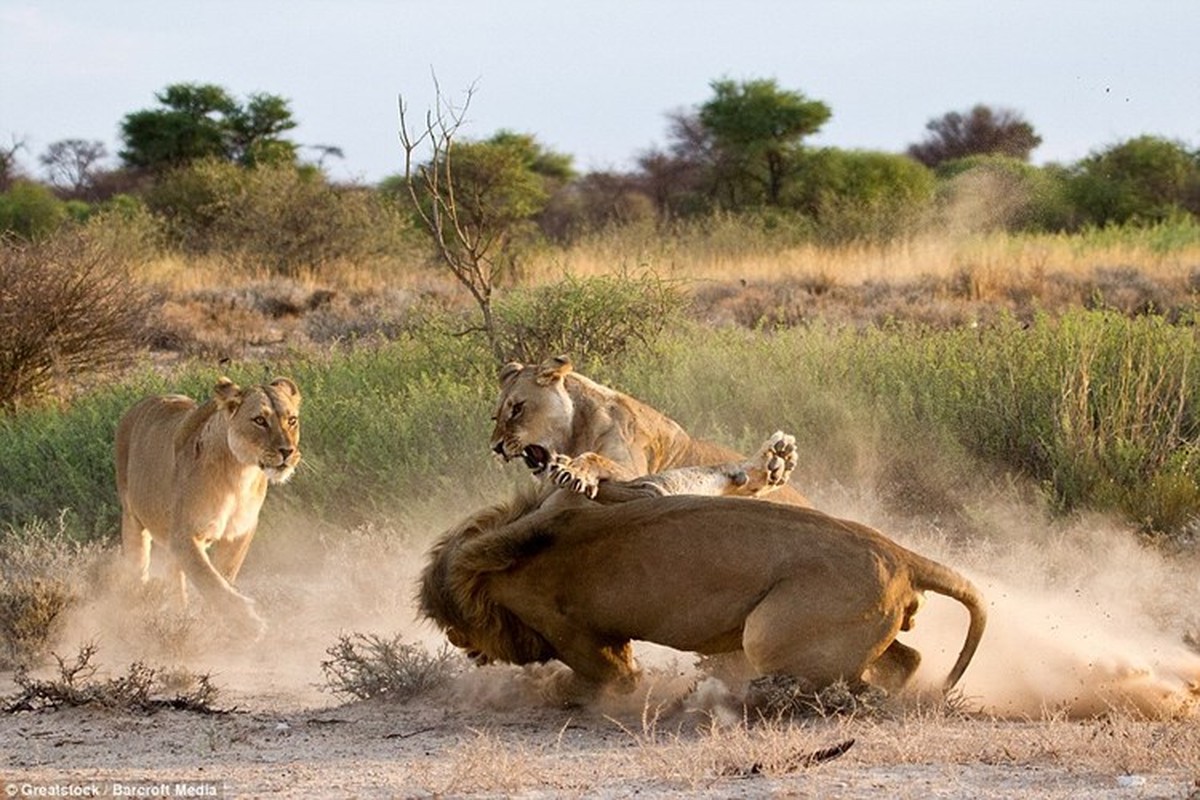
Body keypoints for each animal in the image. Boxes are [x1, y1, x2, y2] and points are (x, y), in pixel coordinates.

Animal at [113, 376, 300, 633]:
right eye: (260, 420)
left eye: (292, 420)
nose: (287, 452)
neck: (240, 475)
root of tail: (138, 404)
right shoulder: (184, 535)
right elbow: (208, 578)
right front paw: (248, 622)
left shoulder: (240, 533)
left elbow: (223, 575)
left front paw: (213, 622)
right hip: (133, 521)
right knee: (139, 570)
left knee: (175, 577)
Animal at [420, 460, 984, 705]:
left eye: (455, 628)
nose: (460, 644)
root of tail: (900, 554)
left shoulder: (581, 639)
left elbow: (605, 681)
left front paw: (551, 690)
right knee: (905, 660)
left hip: (769, 632)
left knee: (842, 684)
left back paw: (754, 696)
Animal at [492, 357, 811, 506]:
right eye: (496, 416)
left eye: (517, 408)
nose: (495, 446)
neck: (576, 431)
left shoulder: (634, 470)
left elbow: (595, 458)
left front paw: (575, 471)